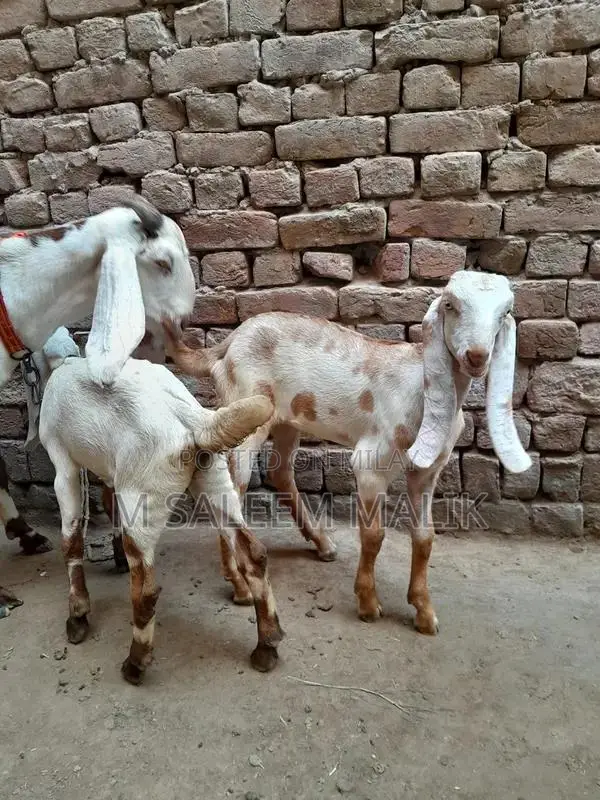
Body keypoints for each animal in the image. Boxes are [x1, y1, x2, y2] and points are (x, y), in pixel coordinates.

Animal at [36, 326, 283, 684]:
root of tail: (193, 418)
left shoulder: (63, 462)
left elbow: (70, 541)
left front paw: (78, 616)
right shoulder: (110, 471)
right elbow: (108, 503)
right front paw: (114, 558)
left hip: (143, 498)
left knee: (146, 590)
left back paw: (135, 663)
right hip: (215, 481)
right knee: (253, 554)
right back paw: (266, 647)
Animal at [164, 270, 531, 635]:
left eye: (505, 312)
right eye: (450, 305)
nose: (477, 356)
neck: (420, 388)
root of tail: (227, 345)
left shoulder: (428, 470)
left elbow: (425, 538)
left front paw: (424, 612)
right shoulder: (370, 463)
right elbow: (374, 534)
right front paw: (368, 604)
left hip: (287, 420)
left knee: (279, 473)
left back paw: (322, 544)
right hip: (242, 412)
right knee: (229, 487)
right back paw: (239, 585)